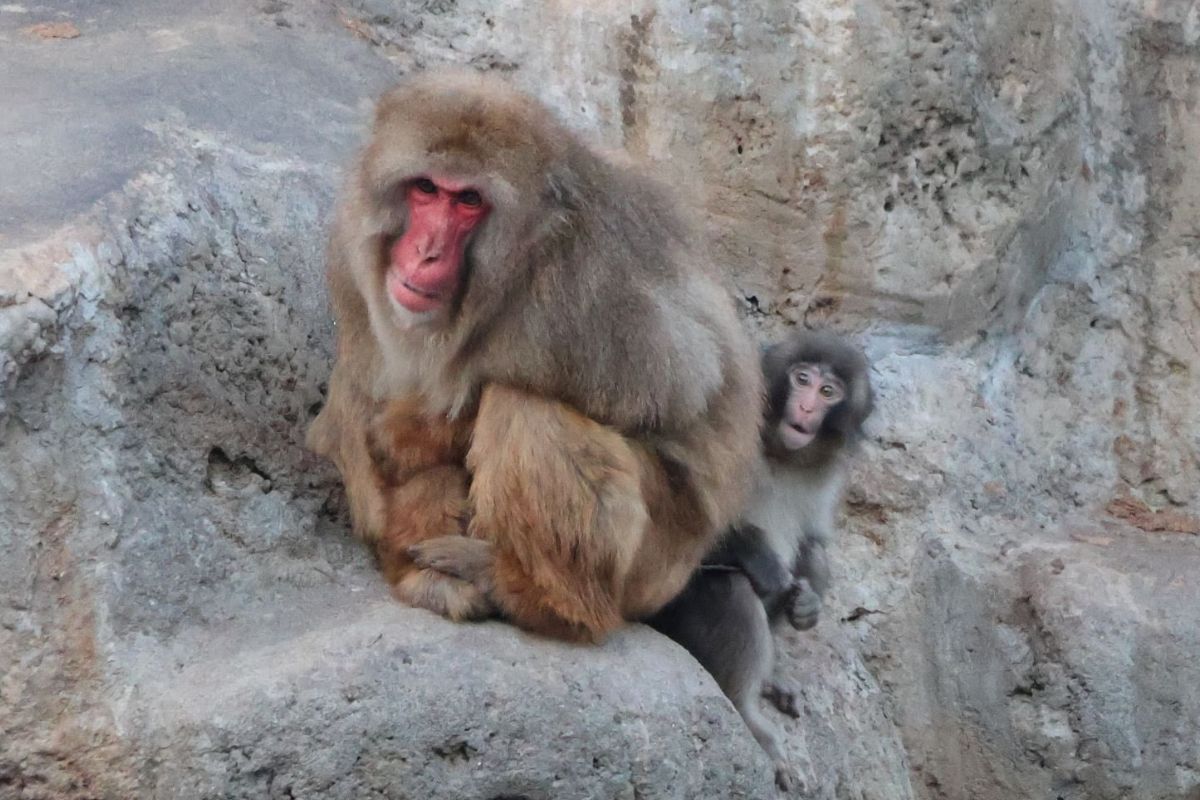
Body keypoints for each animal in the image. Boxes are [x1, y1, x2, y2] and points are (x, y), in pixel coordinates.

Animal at [305, 70, 763, 643]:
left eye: (469, 200)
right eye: (426, 189)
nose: (427, 252)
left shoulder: (589, 285)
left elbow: (679, 387)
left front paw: (415, 432)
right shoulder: (351, 252)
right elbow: (358, 410)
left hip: (656, 565)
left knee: (523, 405)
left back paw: (539, 597)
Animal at [647, 330, 874, 792]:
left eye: (828, 391)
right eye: (802, 379)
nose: (805, 407)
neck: (780, 451)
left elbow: (814, 542)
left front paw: (809, 607)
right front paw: (761, 559)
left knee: (812, 554)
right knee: (730, 586)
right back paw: (748, 712)